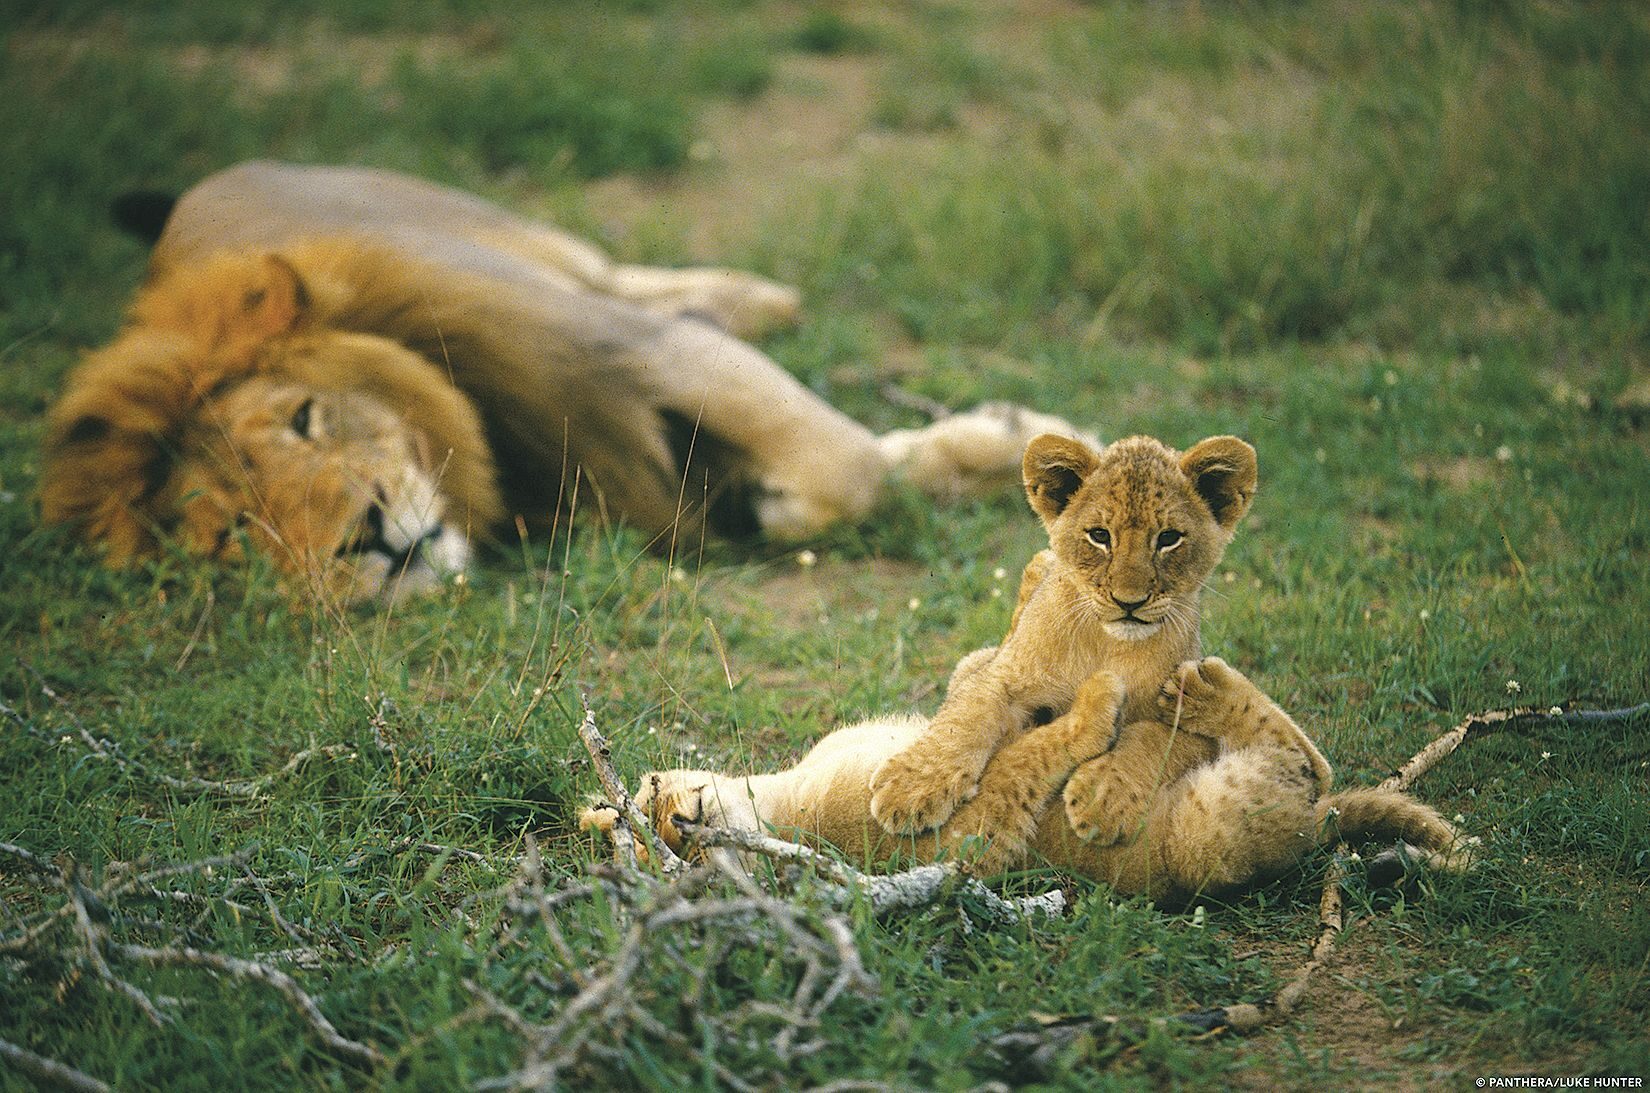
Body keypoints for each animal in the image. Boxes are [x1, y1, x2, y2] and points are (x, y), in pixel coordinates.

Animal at [42, 161, 1091, 601]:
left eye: (306, 418)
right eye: (231, 532)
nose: (366, 538)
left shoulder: (632, 346)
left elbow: (847, 470)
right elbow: (850, 473)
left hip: (521, 237)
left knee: (635, 275)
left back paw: (760, 298)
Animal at [584, 435, 1467, 899]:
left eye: (656, 812)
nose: (677, 815)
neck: (768, 802)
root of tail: (1320, 829)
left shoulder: (974, 686)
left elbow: (983, 693)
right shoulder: (971, 839)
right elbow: (1024, 753)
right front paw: (1097, 703)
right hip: (1226, 822)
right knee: (1304, 758)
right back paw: (1206, 686)